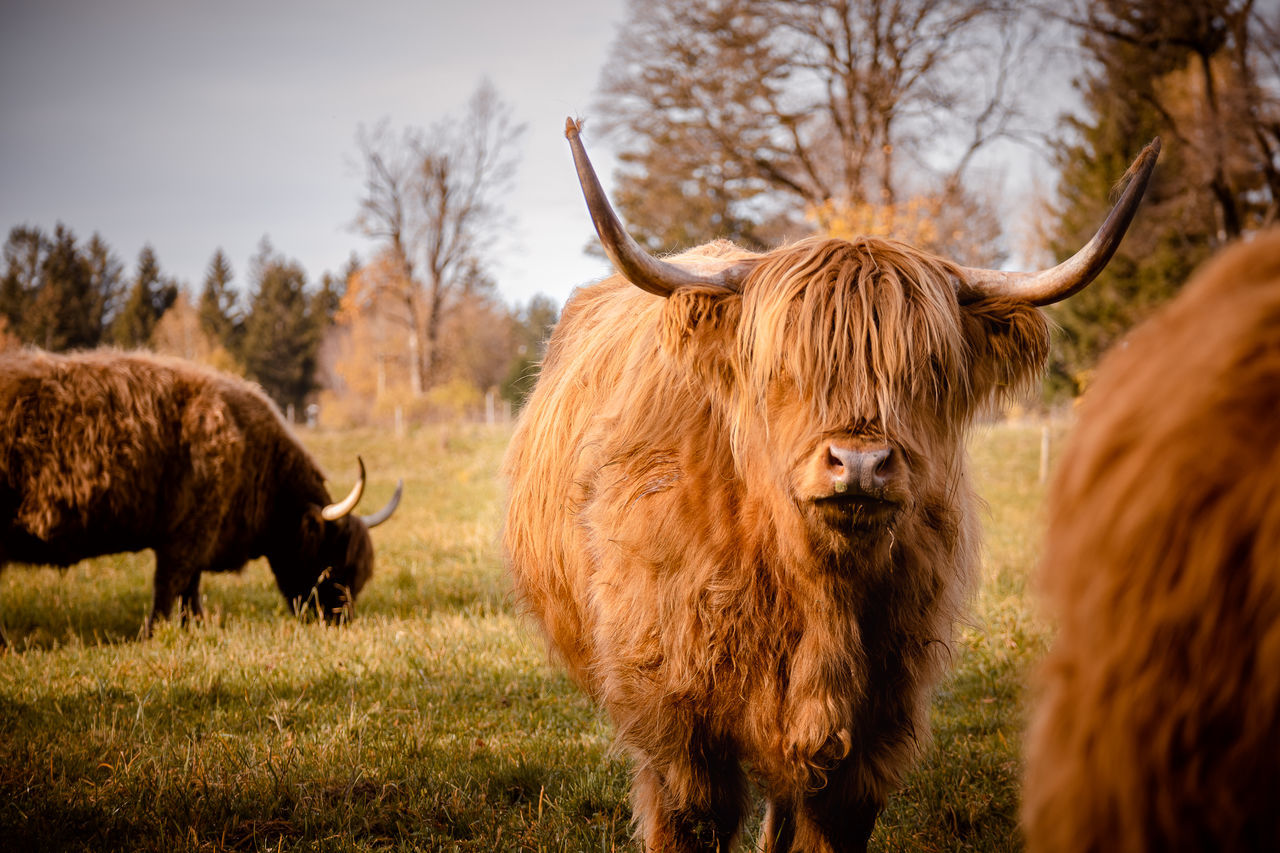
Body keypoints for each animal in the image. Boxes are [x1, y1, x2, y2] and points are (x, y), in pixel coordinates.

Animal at [0, 348, 399, 630]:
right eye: (334, 563)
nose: (339, 619)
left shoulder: (198, 536)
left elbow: (189, 587)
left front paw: (194, 625)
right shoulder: (188, 532)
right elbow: (170, 584)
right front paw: (157, 631)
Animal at [504, 119, 1167, 850]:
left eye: (929, 368)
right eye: (785, 366)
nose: (861, 463)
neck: (815, 588)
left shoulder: (875, 725)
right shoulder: (676, 722)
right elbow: (691, 818)